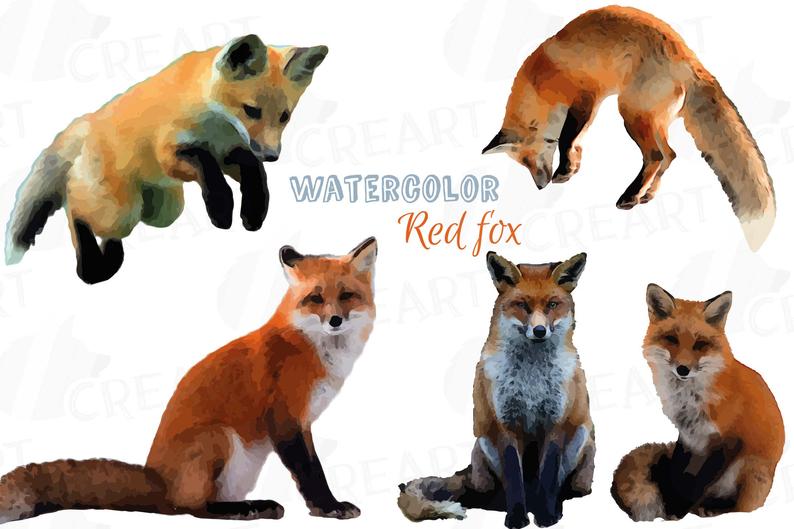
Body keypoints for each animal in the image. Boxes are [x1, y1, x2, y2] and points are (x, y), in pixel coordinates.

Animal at [0, 236, 377, 523]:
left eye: (346, 296)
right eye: (316, 298)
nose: (335, 321)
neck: (312, 348)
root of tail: (157, 478)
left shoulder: (304, 423)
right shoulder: (284, 418)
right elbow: (311, 471)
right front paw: (328, 508)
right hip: (218, 438)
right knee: (193, 509)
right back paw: (248, 509)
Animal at [4, 34, 327, 283]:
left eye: (284, 117)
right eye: (251, 110)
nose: (272, 155)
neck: (215, 124)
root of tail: (86, 121)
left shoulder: (231, 150)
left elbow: (253, 171)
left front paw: (254, 209)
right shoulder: (171, 152)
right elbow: (206, 165)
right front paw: (221, 209)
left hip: (164, 210)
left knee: (111, 229)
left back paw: (112, 259)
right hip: (119, 210)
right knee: (75, 209)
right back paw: (91, 266)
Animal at [398, 252, 595, 528]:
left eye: (552, 304)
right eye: (522, 305)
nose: (539, 331)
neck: (531, 379)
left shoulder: (555, 422)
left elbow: (548, 477)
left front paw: (546, 516)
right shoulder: (505, 423)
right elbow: (513, 477)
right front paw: (516, 517)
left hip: (581, 440)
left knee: (564, 487)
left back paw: (554, 505)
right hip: (483, 443)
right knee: (487, 495)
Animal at [482, 5, 775, 251]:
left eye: (530, 160)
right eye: (524, 164)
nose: (541, 187)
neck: (540, 81)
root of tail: (689, 58)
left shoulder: (585, 96)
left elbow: (566, 138)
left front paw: (565, 171)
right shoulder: (590, 105)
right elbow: (576, 141)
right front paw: (573, 166)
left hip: (630, 113)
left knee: (655, 156)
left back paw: (631, 196)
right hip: (651, 120)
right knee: (669, 155)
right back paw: (647, 194)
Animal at [611, 284, 785, 521]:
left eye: (700, 344)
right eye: (672, 339)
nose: (683, 369)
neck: (690, 399)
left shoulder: (729, 439)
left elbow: (698, 484)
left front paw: (676, 512)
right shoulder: (688, 435)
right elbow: (677, 475)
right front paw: (671, 506)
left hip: (751, 471)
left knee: (742, 507)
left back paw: (713, 509)